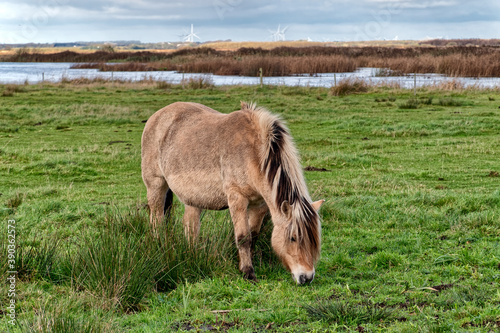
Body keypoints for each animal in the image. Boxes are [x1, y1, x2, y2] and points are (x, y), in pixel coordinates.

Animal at [142, 101, 324, 282]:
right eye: (293, 238)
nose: (306, 277)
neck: (253, 152)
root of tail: (156, 116)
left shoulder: (260, 204)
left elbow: (253, 235)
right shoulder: (237, 198)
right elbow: (243, 237)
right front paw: (248, 272)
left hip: (193, 198)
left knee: (190, 226)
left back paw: (192, 254)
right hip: (156, 185)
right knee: (157, 220)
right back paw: (159, 246)